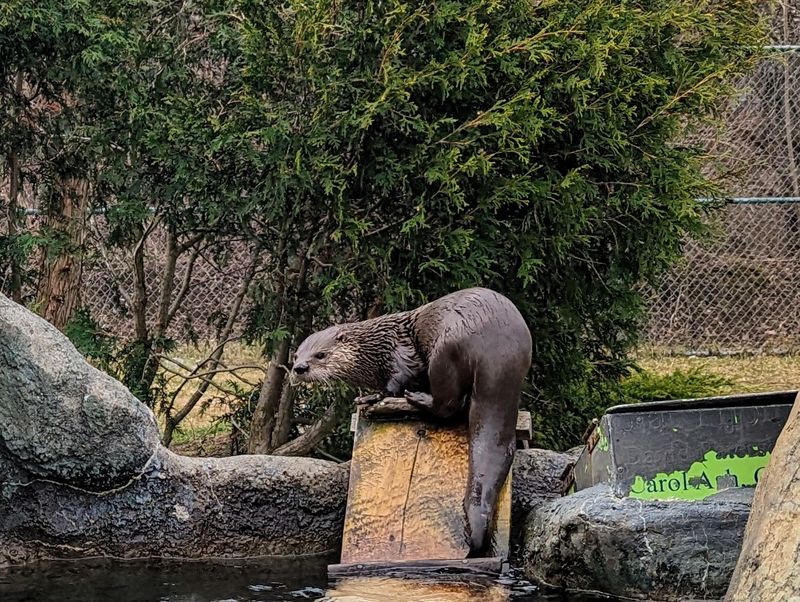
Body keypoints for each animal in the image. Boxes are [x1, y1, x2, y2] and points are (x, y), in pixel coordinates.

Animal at [292, 287, 532, 558]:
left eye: (320, 355)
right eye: (297, 355)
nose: (299, 368)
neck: (373, 352)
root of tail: (499, 349)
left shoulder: (398, 353)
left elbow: (398, 378)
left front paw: (371, 396)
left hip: (445, 350)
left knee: (449, 404)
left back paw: (417, 398)